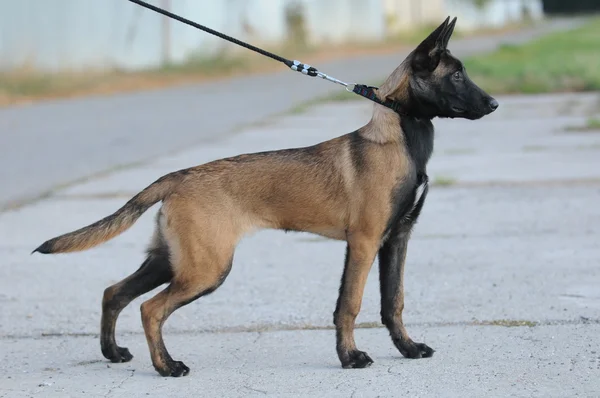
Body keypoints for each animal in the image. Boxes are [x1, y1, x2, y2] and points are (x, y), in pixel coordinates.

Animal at [35, 17, 500, 378]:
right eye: (457, 75)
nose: (495, 103)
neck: (399, 138)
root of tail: (176, 176)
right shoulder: (365, 243)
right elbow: (350, 304)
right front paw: (349, 357)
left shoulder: (397, 239)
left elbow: (394, 302)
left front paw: (407, 348)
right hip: (206, 268)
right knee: (150, 309)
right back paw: (167, 367)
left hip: (172, 259)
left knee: (114, 293)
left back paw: (113, 353)